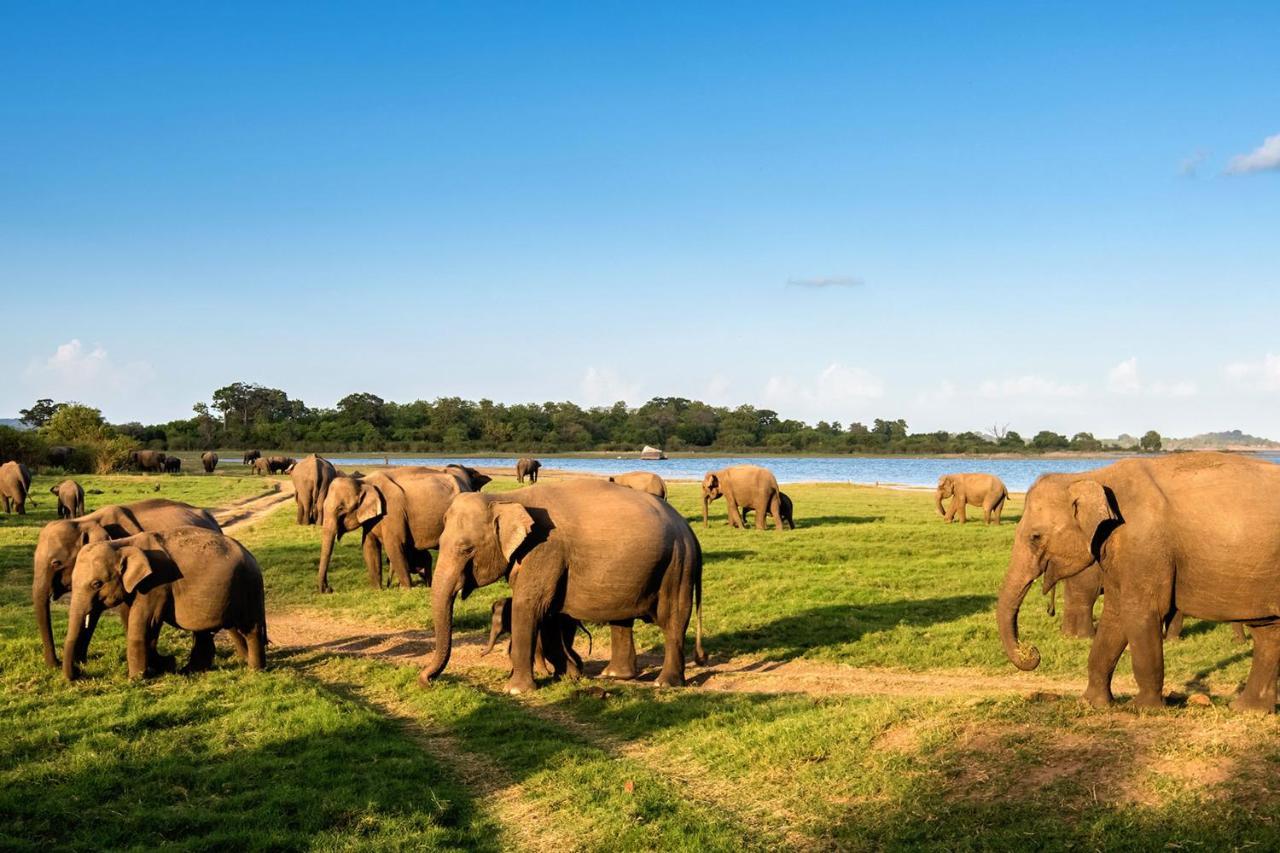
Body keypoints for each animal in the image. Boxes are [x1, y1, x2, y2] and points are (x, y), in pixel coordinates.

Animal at [31, 494, 220, 666]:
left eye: (56, 563)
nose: (55, 664)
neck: (84, 521)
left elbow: (126, 611)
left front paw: (157, 662)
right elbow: (93, 612)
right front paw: (80, 662)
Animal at [64, 525, 267, 676]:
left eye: (96, 584)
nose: (80, 673)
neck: (123, 544)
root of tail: (251, 556)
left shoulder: (157, 583)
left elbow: (145, 623)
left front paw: (136, 679)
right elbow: (140, 624)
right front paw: (164, 665)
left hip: (249, 588)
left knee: (250, 628)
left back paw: (254, 670)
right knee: (205, 631)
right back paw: (190, 671)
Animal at [317, 466, 478, 591]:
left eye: (341, 508)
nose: (328, 589)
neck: (364, 481)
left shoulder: (393, 511)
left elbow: (393, 544)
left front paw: (406, 590)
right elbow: (369, 546)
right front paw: (377, 590)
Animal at [417, 473, 706, 696]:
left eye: (466, 549)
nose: (426, 681)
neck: (506, 497)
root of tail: (690, 532)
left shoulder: (546, 549)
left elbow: (529, 606)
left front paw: (516, 690)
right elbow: (550, 613)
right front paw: (569, 675)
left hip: (677, 565)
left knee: (673, 619)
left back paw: (664, 684)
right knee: (622, 619)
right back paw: (615, 676)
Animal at [993, 450, 1280, 712]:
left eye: (1035, 537)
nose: (1032, 652)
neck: (1092, 475)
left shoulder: (1143, 544)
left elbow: (1141, 611)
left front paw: (1142, 708)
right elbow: (1115, 614)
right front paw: (1092, 704)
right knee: (1267, 633)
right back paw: (1246, 709)